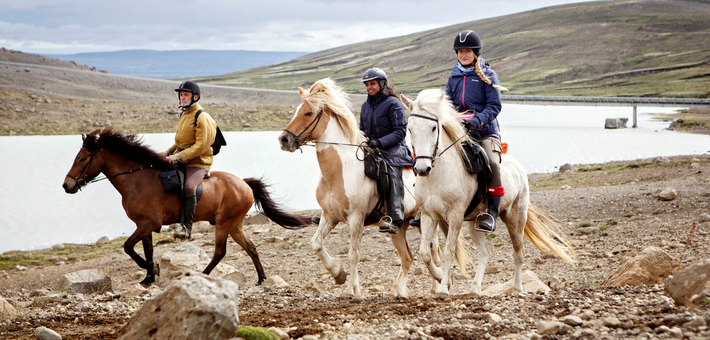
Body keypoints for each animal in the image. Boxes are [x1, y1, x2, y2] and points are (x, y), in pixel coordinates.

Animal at [64, 127, 312, 286]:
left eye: (83, 159)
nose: (67, 185)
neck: (137, 179)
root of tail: (244, 184)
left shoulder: (148, 223)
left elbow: (127, 247)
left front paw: (152, 271)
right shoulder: (144, 225)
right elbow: (145, 250)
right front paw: (148, 278)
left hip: (224, 223)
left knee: (220, 252)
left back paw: (202, 275)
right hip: (235, 225)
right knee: (251, 247)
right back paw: (261, 278)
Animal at [278, 78, 468, 296]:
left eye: (308, 113)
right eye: (295, 111)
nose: (284, 139)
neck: (340, 170)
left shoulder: (356, 219)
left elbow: (353, 254)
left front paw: (352, 290)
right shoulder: (329, 216)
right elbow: (316, 244)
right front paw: (338, 274)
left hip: (426, 221)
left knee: (433, 253)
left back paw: (437, 286)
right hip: (400, 227)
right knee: (408, 257)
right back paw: (397, 290)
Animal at [404, 88, 576, 298]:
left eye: (433, 128)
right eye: (410, 129)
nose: (422, 168)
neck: (436, 177)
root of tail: (519, 168)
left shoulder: (455, 216)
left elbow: (448, 252)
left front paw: (443, 288)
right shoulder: (429, 216)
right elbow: (425, 254)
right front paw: (441, 279)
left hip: (515, 218)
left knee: (518, 252)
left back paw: (517, 288)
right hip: (475, 225)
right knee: (484, 255)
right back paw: (475, 288)